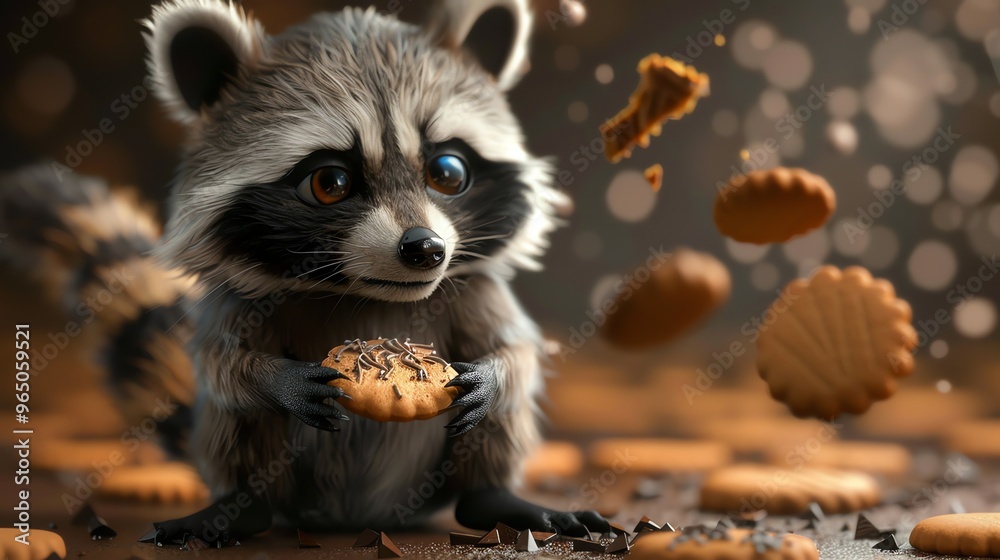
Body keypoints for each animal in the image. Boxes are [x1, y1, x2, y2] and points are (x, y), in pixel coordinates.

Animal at [95, 0, 606, 543]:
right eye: (330, 182)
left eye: (447, 172)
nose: (425, 249)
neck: (368, 293)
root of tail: (361, 517)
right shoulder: (241, 301)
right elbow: (222, 364)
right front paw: (274, 378)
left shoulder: (472, 289)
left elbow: (517, 352)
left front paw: (494, 374)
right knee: (236, 420)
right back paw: (242, 506)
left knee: (497, 424)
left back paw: (491, 497)